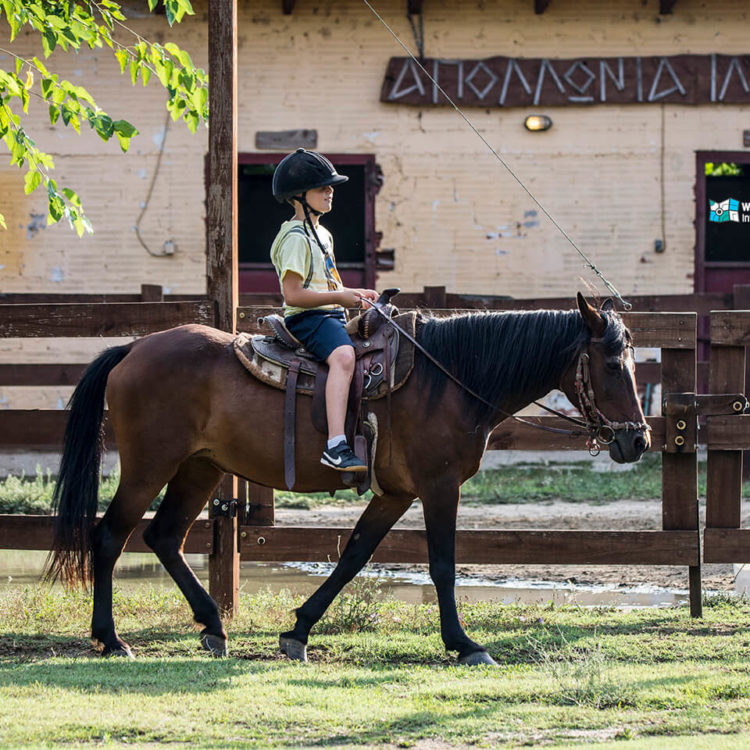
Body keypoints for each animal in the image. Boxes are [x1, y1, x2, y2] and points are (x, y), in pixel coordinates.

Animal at [48, 296, 652, 668]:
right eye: (613, 365)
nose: (639, 441)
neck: (449, 378)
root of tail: (133, 348)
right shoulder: (439, 486)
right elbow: (442, 564)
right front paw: (463, 644)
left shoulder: (396, 493)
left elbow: (355, 555)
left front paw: (298, 631)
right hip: (150, 467)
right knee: (110, 536)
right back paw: (110, 638)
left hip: (201, 468)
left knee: (164, 537)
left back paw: (213, 625)